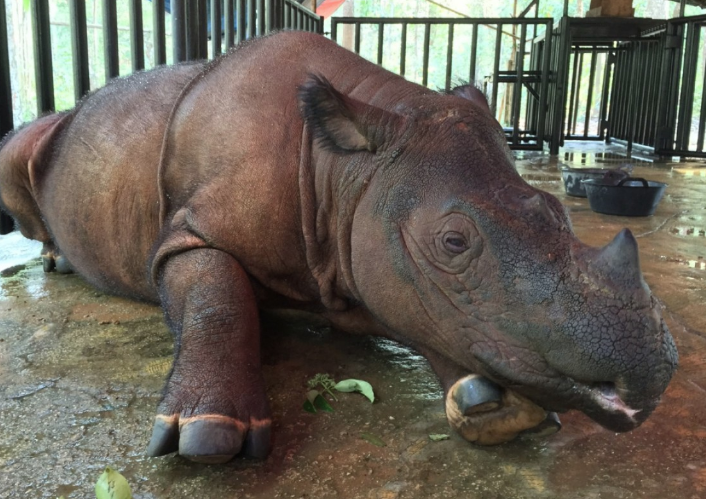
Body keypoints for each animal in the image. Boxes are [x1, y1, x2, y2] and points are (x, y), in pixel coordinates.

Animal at [0, 32, 672, 464]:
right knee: (19, 152)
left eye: (560, 213)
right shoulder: (187, 234)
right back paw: (56, 259)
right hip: (46, 139)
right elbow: (217, 293)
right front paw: (208, 435)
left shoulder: (364, 263)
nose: (652, 370)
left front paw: (494, 405)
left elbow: (431, 319)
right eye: (453, 242)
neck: (342, 171)